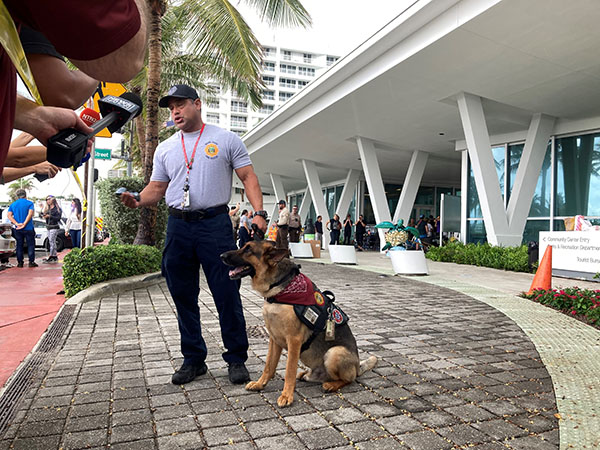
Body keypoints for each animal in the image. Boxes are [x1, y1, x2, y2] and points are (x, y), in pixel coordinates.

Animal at [223, 241, 378, 406]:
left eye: (248, 249)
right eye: (243, 246)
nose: (221, 256)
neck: (279, 291)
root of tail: (357, 366)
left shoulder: (294, 341)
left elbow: (289, 371)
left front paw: (286, 396)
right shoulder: (274, 339)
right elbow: (269, 366)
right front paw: (260, 384)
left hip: (334, 353)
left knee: (349, 379)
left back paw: (331, 385)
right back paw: (306, 374)